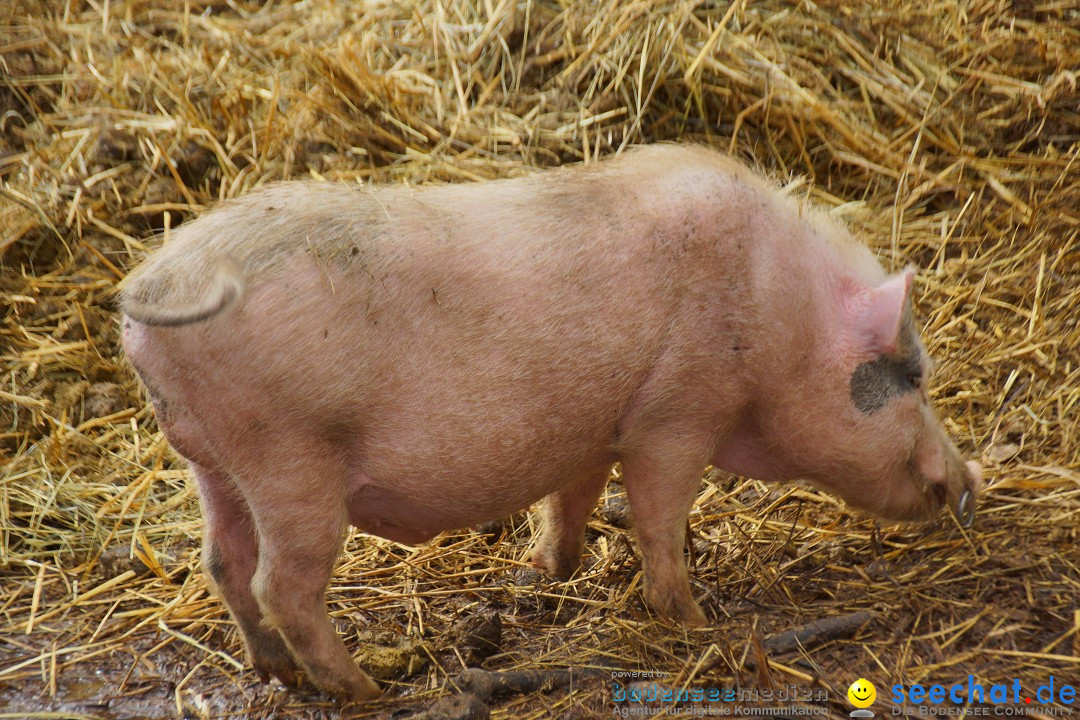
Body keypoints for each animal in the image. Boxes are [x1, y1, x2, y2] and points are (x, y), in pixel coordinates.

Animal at [122, 143, 984, 699]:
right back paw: (365, 688)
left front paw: (550, 571)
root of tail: (152, 290)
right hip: (288, 458)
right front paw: (693, 620)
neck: (782, 315)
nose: (970, 478)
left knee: (223, 562)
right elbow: (659, 516)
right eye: (913, 377)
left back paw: (276, 673)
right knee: (281, 582)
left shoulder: (599, 425)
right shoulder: (677, 411)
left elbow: (573, 498)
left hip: (212, 459)